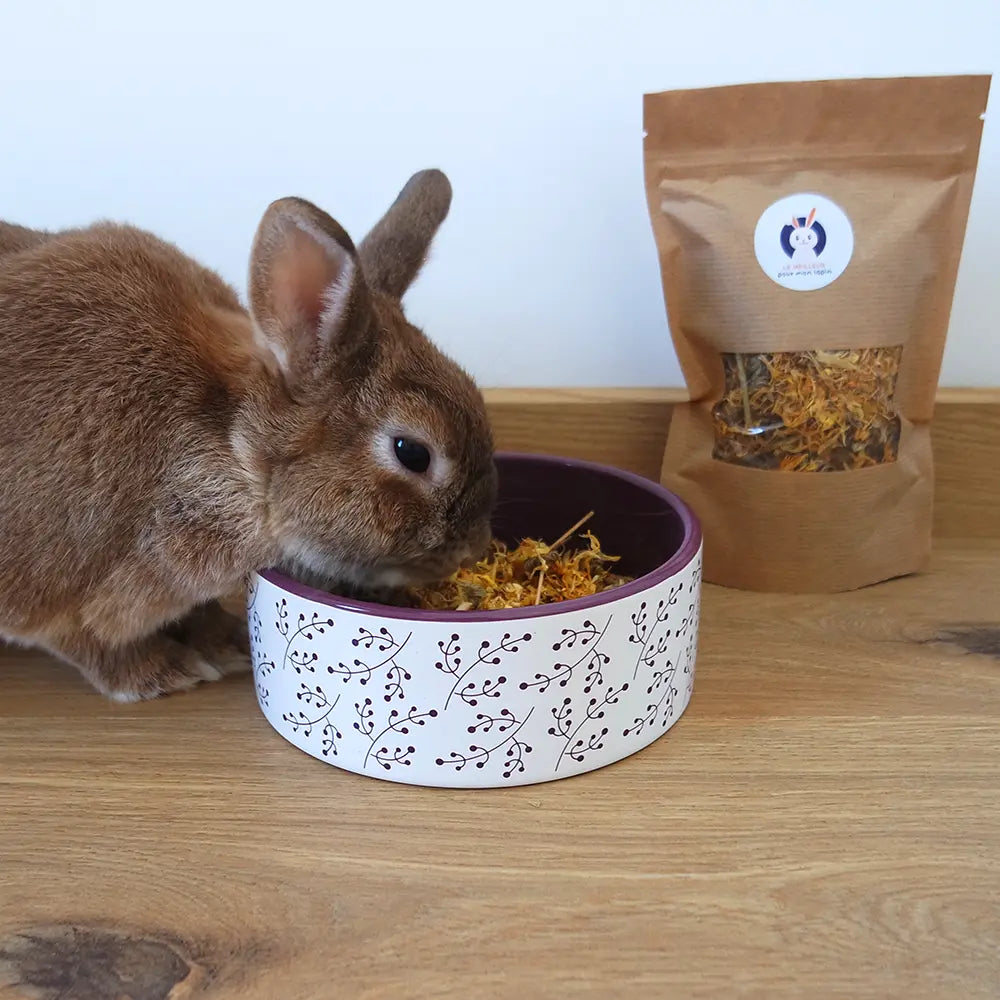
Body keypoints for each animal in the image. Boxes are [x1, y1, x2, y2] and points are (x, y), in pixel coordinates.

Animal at [0, 169, 497, 702]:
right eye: (412, 453)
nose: (475, 548)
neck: (233, 449)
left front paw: (229, 643)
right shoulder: (54, 587)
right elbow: (87, 643)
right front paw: (160, 673)